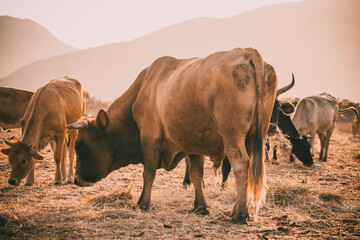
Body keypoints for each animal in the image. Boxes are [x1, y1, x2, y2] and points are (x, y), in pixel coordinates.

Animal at [66, 47, 278, 224]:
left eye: (80, 145)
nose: (76, 179)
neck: (143, 88)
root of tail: (247, 52)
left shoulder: (149, 137)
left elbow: (148, 172)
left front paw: (143, 203)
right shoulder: (194, 143)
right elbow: (196, 175)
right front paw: (200, 206)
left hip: (232, 135)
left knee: (241, 164)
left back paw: (240, 213)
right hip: (254, 135)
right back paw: (236, 209)